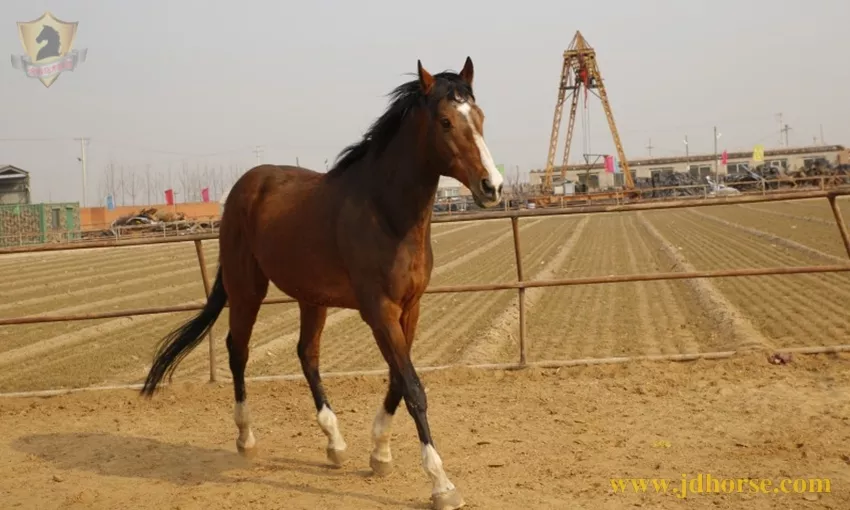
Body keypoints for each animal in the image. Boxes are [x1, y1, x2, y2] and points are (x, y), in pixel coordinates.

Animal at [136, 56, 500, 510]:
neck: (386, 212)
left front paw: (379, 453)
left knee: (306, 354)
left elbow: (398, 379)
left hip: (312, 299)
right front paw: (441, 484)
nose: (492, 186)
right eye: (447, 121)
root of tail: (244, 187)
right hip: (247, 289)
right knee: (238, 351)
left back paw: (335, 443)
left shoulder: (410, 307)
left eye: (480, 117)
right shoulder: (379, 310)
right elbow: (413, 386)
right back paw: (246, 439)